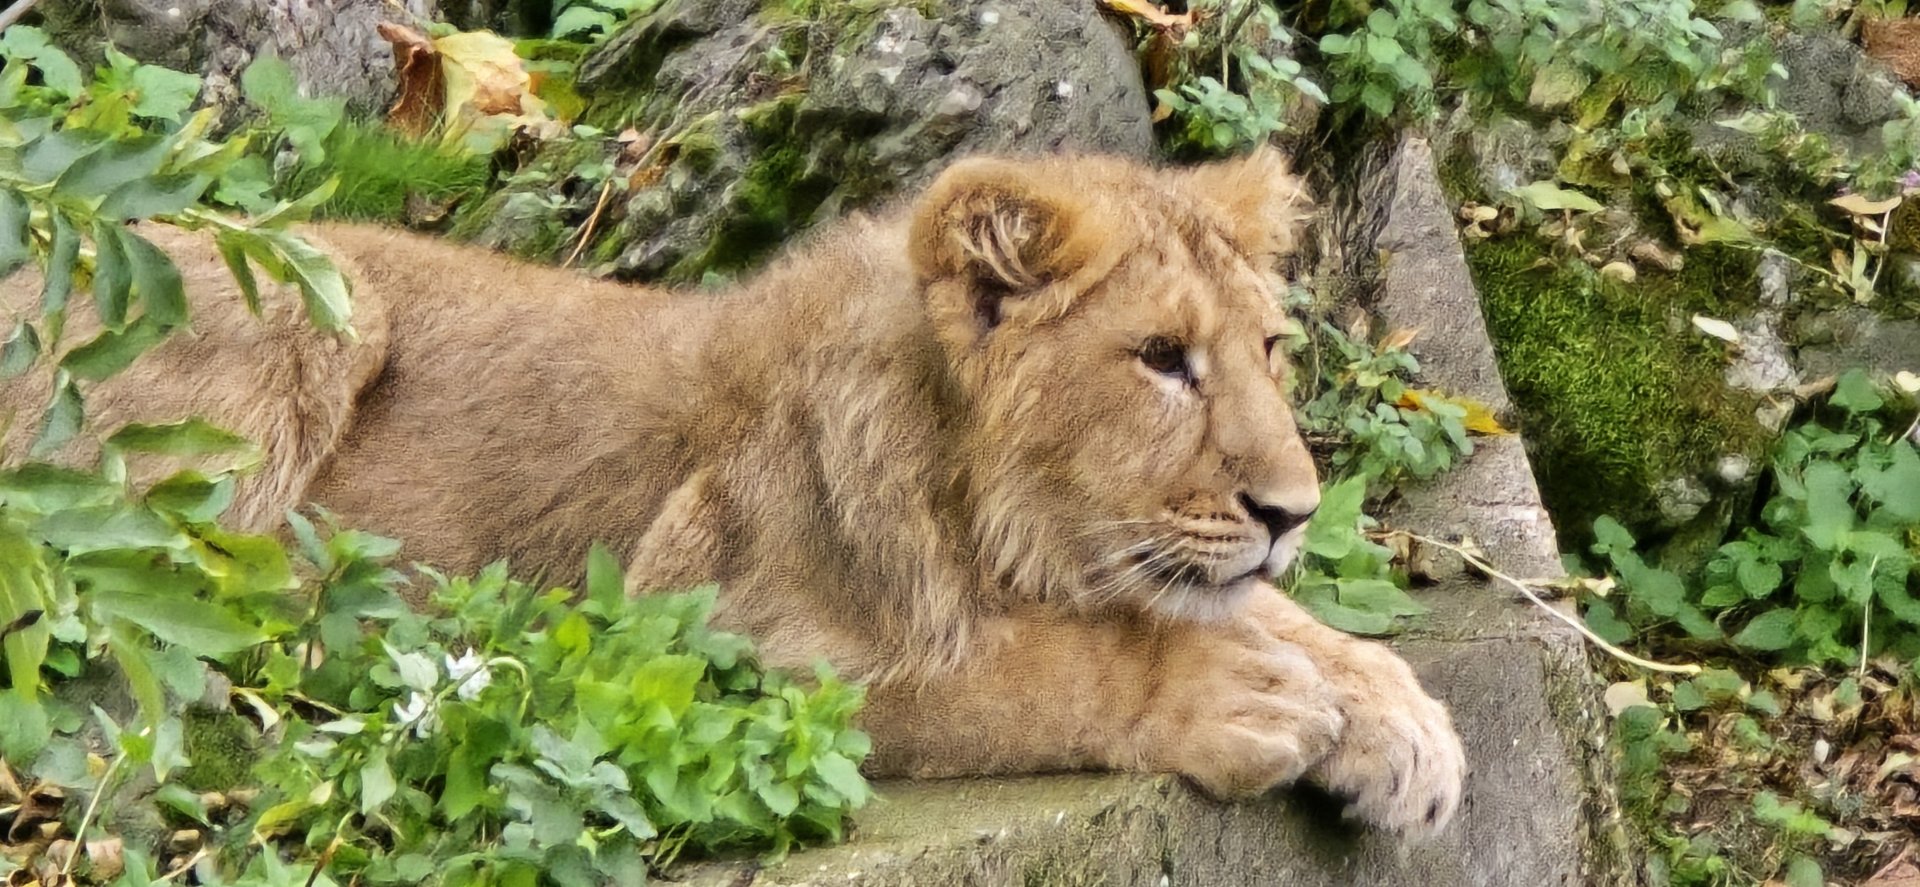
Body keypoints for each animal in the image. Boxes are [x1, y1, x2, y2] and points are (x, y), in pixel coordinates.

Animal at [1, 147, 1465, 836]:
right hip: (307, 296)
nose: (1292, 512)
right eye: (1161, 358)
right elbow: (1029, 671)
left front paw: (1399, 718)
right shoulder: (721, 646)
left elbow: (1233, 608)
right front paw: (1244, 697)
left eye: (1268, 349)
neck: (983, 511)